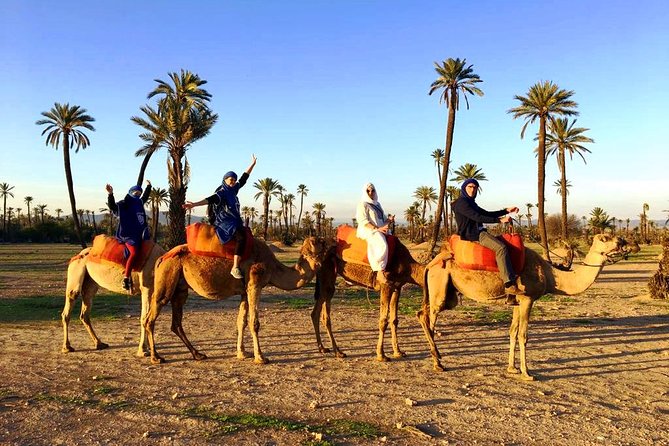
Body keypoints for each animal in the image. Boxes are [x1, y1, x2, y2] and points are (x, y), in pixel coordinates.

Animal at [144, 236, 332, 364]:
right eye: (321, 242)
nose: (332, 242)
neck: (272, 267)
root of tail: (161, 258)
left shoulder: (244, 291)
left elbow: (241, 321)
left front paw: (242, 353)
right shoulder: (255, 283)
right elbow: (254, 322)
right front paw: (260, 357)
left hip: (180, 287)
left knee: (176, 322)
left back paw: (198, 354)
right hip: (167, 278)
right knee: (150, 317)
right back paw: (156, 357)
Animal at [418, 233, 624, 380]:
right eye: (605, 238)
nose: (623, 241)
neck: (550, 275)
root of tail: (430, 263)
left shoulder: (517, 301)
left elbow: (513, 332)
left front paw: (512, 368)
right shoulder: (527, 298)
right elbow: (524, 335)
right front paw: (527, 373)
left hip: (446, 291)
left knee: (422, 314)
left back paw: (438, 359)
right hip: (440, 287)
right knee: (428, 318)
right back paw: (438, 363)